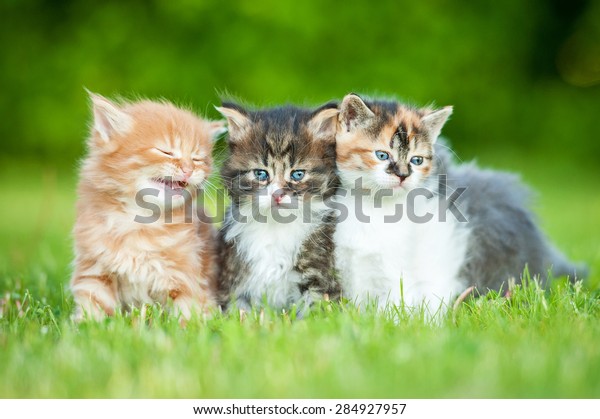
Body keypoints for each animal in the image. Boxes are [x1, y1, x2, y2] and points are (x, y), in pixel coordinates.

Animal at [68, 92, 223, 322]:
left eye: (198, 158)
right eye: (166, 151)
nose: (188, 169)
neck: (141, 220)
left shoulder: (186, 276)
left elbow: (188, 313)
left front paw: (190, 326)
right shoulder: (94, 270)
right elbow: (94, 307)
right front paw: (86, 326)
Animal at [217, 101, 342, 312]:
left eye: (297, 175)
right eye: (260, 174)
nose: (277, 194)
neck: (277, 227)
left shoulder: (321, 279)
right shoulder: (236, 280)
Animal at [332, 93, 584, 314]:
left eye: (416, 160)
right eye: (382, 155)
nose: (403, 175)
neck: (373, 207)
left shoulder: (403, 270)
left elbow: (397, 304)